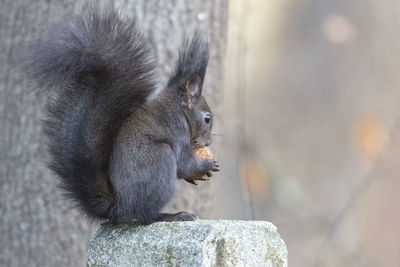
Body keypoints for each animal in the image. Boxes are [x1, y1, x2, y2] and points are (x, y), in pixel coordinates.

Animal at [26, 4, 220, 226]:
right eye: (207, 118)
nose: (208, 142)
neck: (179, 109)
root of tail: (118, 209)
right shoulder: (177, 129)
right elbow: (184, 163)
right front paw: (206, 165)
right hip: (160, 160)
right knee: (145, 216)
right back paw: (173, 215)